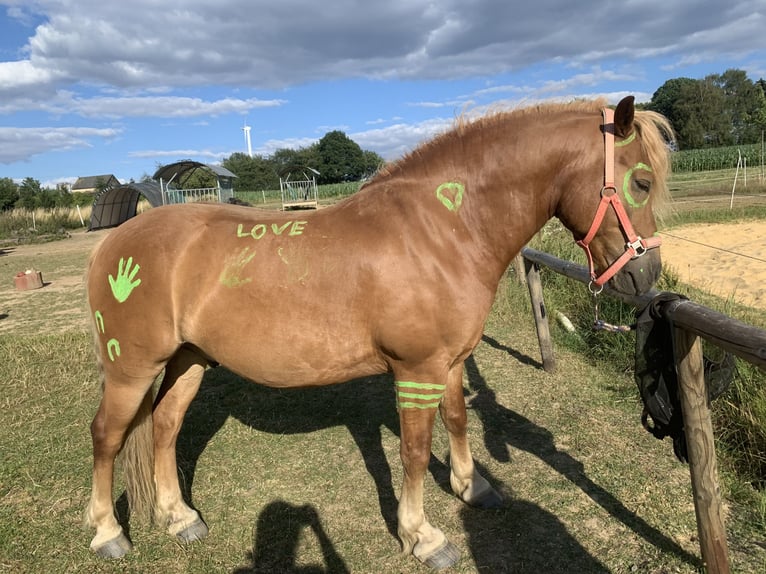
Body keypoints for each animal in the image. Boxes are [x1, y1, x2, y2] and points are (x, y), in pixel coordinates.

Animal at [84, 97, 672, 568]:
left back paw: (179, 517)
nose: (645, 277)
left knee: (165, 427)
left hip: (189, 359)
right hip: (131, 368)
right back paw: (109, 532)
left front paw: (472, 487)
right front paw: (423, 537)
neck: (441, 230)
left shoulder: (450, 364)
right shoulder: (416, 371)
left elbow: (457, 421)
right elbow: (413, 452)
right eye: (642, 181)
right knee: (108, 435)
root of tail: (114, 243)